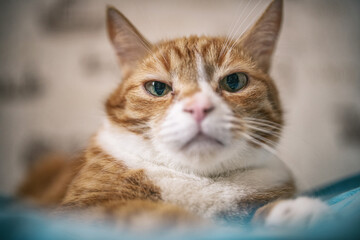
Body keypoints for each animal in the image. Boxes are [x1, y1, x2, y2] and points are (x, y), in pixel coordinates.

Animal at [19, 0, 330, 232]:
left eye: (234, 82)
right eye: (158, 88)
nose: (199, 108)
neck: (199, 179)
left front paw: (290, 212)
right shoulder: (78, 211)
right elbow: (150, 213)